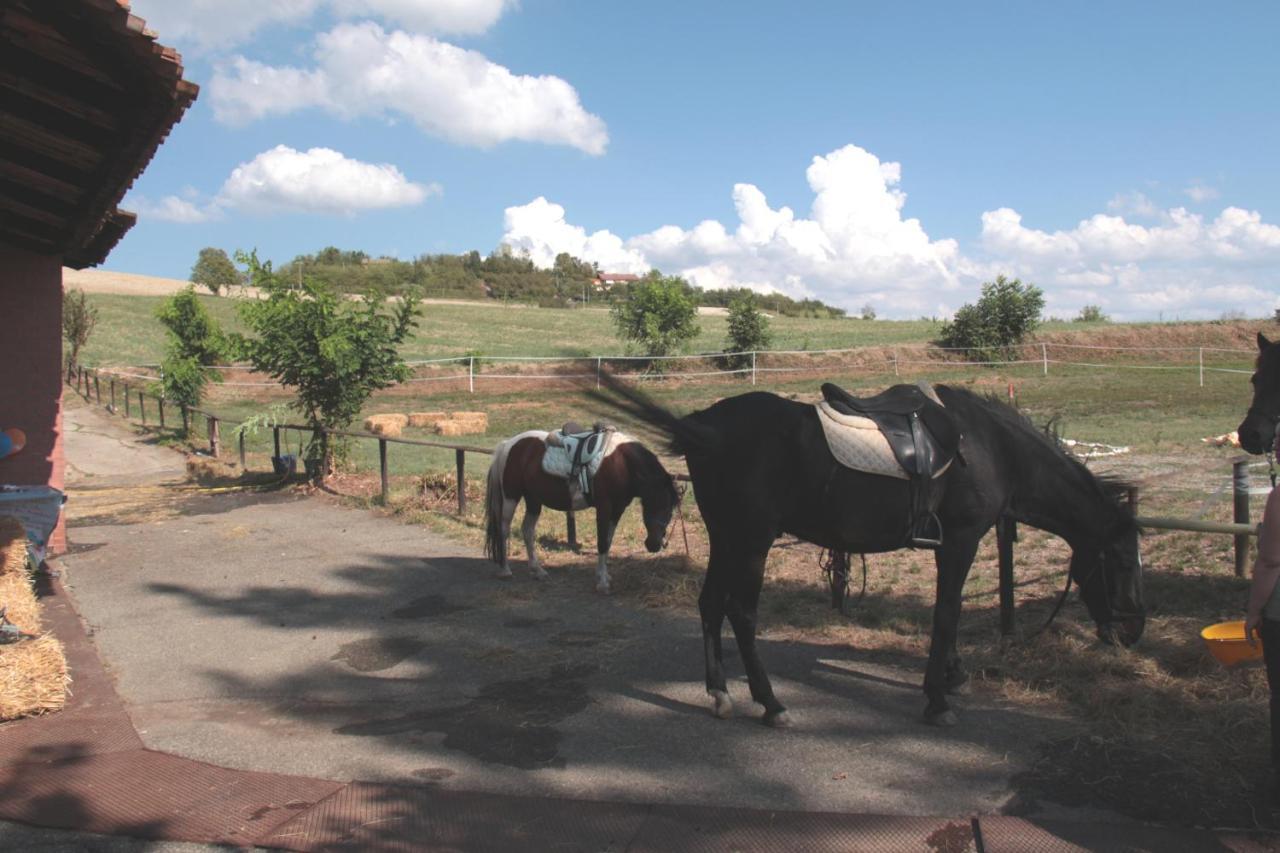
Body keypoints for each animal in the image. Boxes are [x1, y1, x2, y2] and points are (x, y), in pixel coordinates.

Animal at [483, 432, 680, 591]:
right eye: (656, 503)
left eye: (670, 509)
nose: (654, 545)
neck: (622, 463)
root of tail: (508, 444)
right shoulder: (604, 507)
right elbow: (601, 543)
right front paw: (602, 583)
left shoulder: (618, 510)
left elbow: (608, 542)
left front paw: (604, 575)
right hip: (511, 497)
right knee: (504, 529)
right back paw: (505, 570)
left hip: (533, 500)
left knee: (527, 530)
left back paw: (537, 570)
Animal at [593, 379, 1146, 722]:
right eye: (1122, 560)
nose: (1132, 632)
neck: (990, 448)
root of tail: (703, 426)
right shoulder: (961, 539)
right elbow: (947, 612)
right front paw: (937, 697)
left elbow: (948, 612)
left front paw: (953, 675)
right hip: (752, 539)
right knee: (741, 612)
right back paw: (771, 704)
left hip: (727, 536)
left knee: (710, 605)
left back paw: (720, 694)